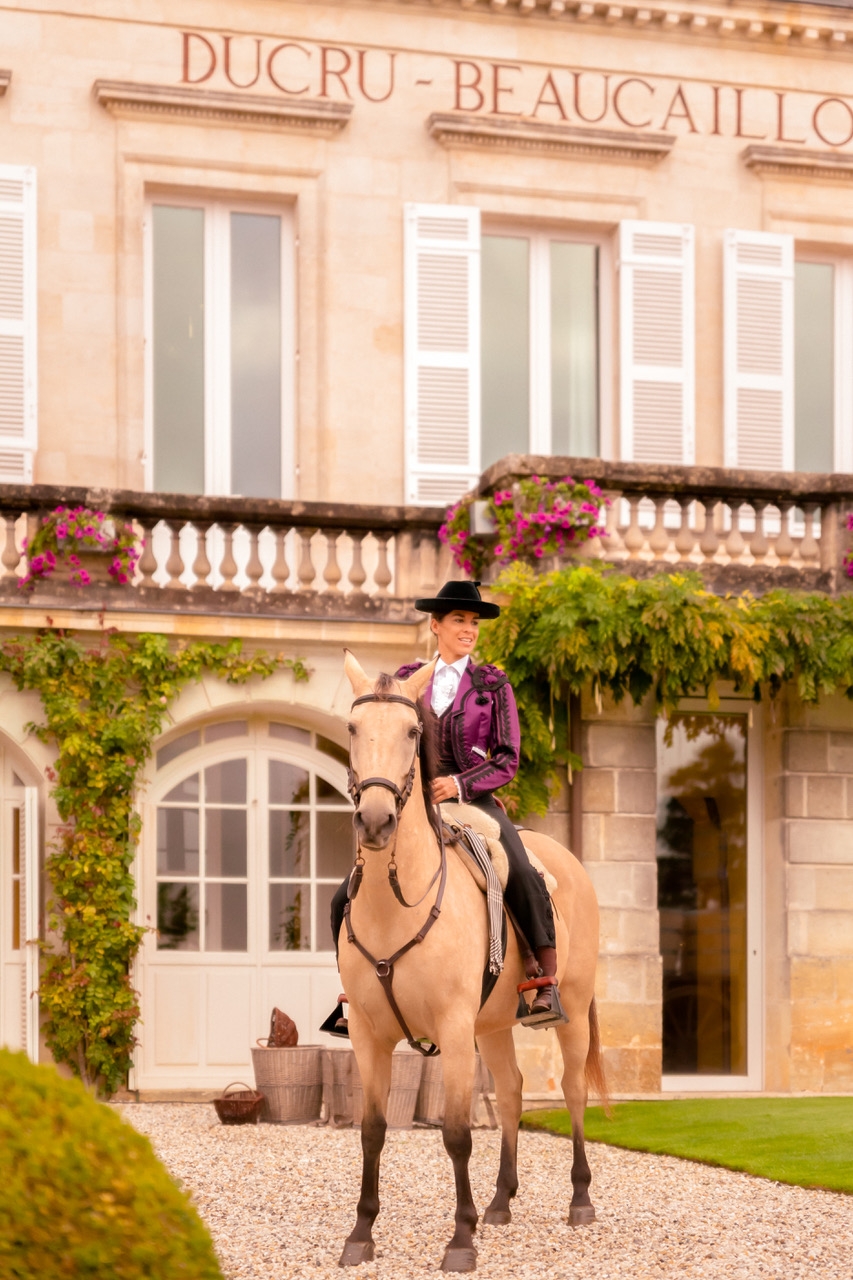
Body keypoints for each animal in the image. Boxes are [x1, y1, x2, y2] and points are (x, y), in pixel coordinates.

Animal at [335, 655, 601, 1274]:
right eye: (354, 729)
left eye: (413, 732)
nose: (376, 821)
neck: (395, 903)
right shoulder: (367, 1035)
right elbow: (372, 1131)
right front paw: (361, 1234)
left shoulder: (454, 1030)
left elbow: (457, 1133)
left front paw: (460, 1239)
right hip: (496, 1026)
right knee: (512, 1092)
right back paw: (501, 1201)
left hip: (571, 1009)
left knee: (573, 1091)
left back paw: (579, 1200)